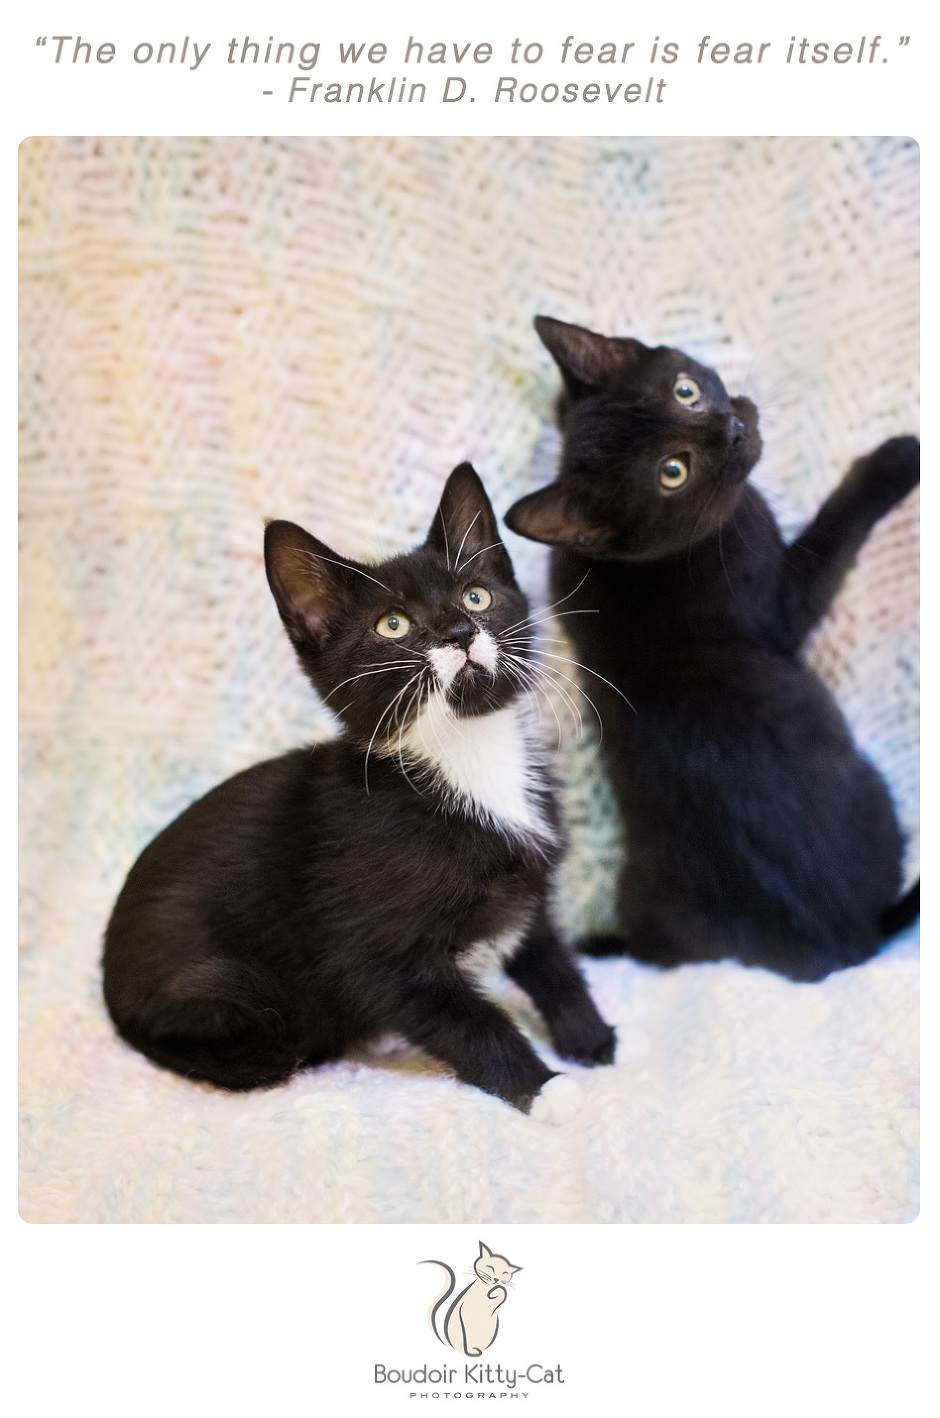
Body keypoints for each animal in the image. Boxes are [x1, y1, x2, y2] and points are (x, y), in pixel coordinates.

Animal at [104, 465, 618, 1117]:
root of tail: (111, 997)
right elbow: (469, 1021)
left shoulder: (526, 884)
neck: (466, 758)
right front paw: (546, 1088)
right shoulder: (371, 954)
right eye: (392, 625)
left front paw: (588, 1035)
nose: (459, 632)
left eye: (475, 595)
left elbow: (550, 955)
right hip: (218, 981)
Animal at [507, 319, 918, 986]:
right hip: (876, 794)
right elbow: (834, 530)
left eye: (686, 392)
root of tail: (835, 947)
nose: (731, 428)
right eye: (674, 471)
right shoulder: (779, 598)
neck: (640, 559)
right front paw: (897, 458)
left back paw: (599, 945)